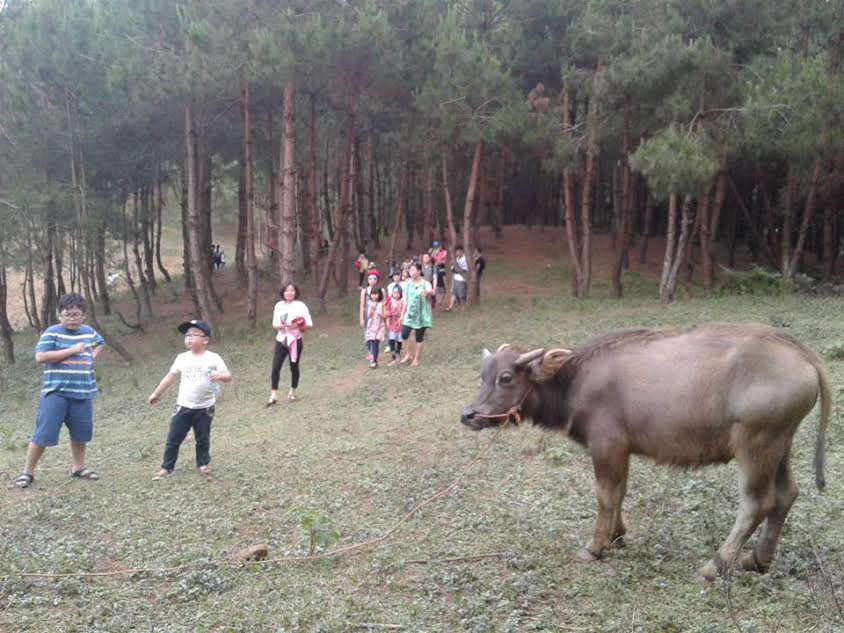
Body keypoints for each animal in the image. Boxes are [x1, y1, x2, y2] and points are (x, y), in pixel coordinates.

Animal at [462, 324, 832, 580]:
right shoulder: (621, 450)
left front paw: (595, 546)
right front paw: (616, 535)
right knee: (786, 495)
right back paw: (758, 559)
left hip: (756, 444)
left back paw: (713, 566)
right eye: (482, 376)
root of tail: (802, 354)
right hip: (780, 442)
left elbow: (605, 495)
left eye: (506, 378)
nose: (468, 414)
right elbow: (620, 493)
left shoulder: (606, 445)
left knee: (756, 504)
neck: (576, 381)